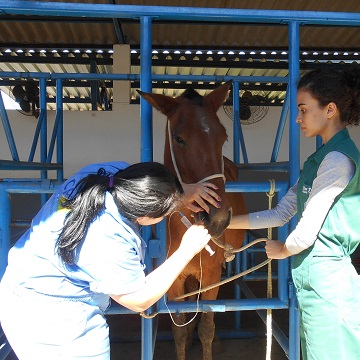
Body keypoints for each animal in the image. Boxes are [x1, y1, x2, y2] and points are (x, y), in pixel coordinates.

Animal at [139, 82, 248, 360]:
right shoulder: (174, 281)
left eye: (223, 137)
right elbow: (179, 329)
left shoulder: (211, 276)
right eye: (179, 139)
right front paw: (185, 340)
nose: (216, 217)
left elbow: (207, 327)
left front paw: (208, 337)